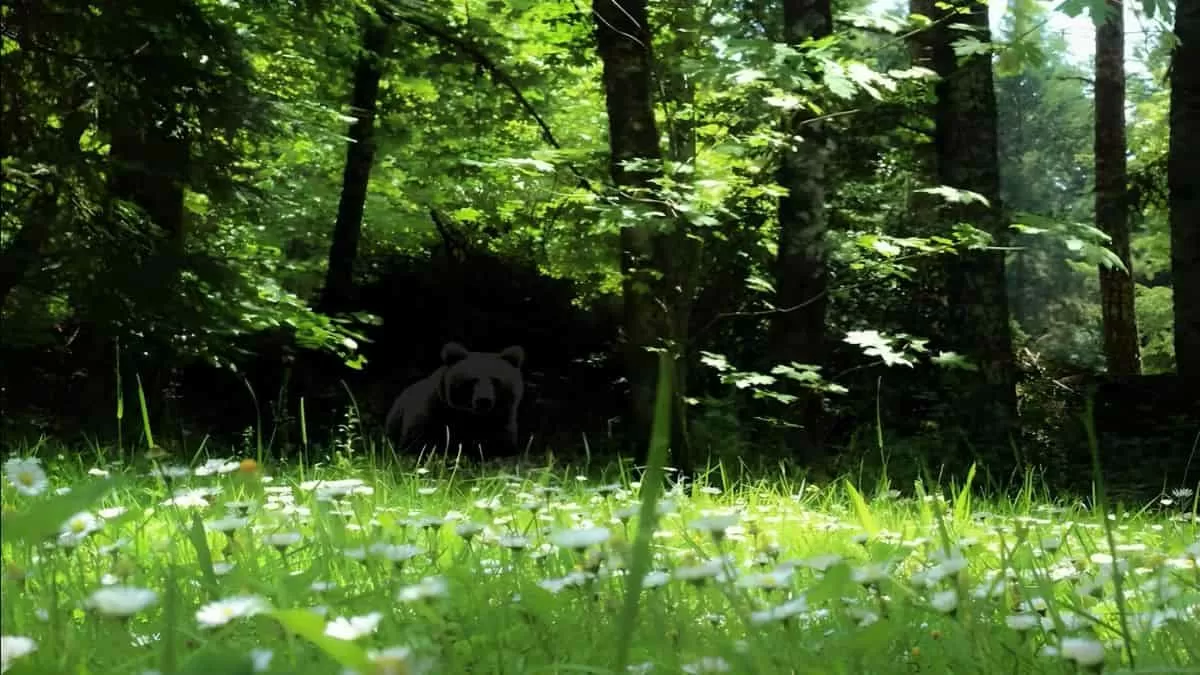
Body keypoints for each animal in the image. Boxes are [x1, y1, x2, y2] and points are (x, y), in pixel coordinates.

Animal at [384, 342, 526, 458]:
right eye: (472, 380)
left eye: (495, 380)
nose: (484, 400)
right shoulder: (433, 414)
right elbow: (419, 444)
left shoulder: (501, 423)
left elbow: (500, 448)